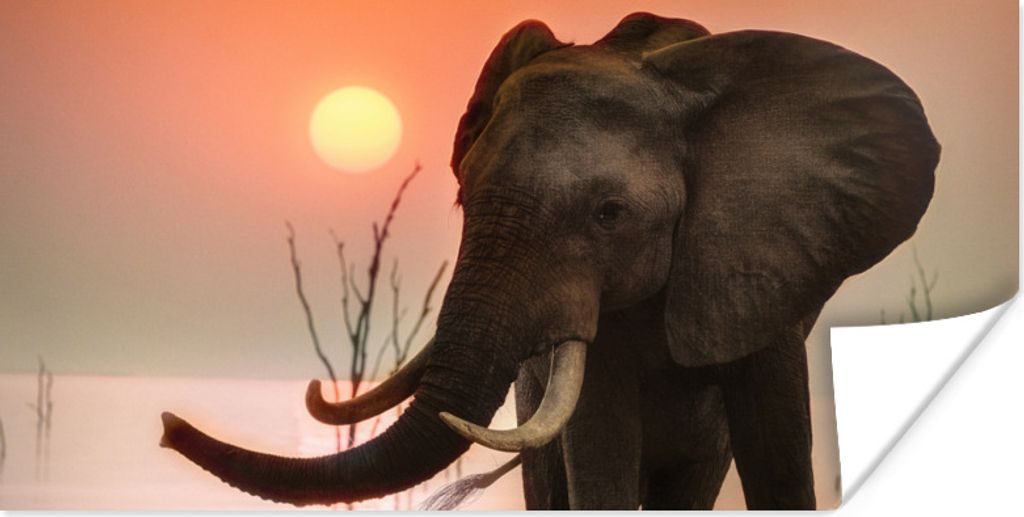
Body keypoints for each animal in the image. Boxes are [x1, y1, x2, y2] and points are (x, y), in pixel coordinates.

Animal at [160, 12, 938, 510]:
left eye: (610, 214)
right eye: (463, 199)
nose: (167, 425)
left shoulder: (764, 269)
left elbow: (778, 456)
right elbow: (598, 452)